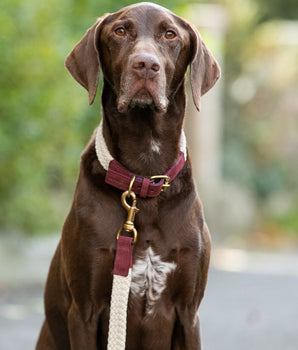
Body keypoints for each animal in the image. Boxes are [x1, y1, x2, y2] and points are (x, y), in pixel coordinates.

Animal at [36, 3, 220, 350]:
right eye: (120, 31)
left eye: (170, 34)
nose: (146, 64)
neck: (144, 176)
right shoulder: (84, 311)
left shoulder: (189, 313)